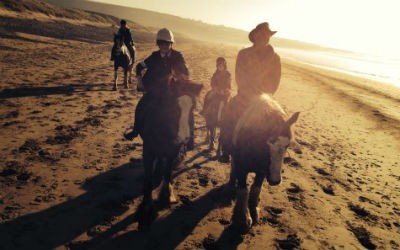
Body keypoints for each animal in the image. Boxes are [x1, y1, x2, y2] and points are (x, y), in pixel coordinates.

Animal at [136, 79, 203, 229]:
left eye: (193, 108)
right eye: (173, 107)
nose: (185, 138)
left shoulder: (173, 150)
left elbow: (167, 172)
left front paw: (166, 195)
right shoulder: (148, 150)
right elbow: (148, 178)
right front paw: (147, 207)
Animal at [227, 94, 298, 234]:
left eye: (287, 145)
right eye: (268, 142)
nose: (275, 181)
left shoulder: (262, 171)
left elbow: (256, 188)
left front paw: (254, 212)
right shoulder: (242, 168)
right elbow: (243, 190)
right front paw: (244, 219)